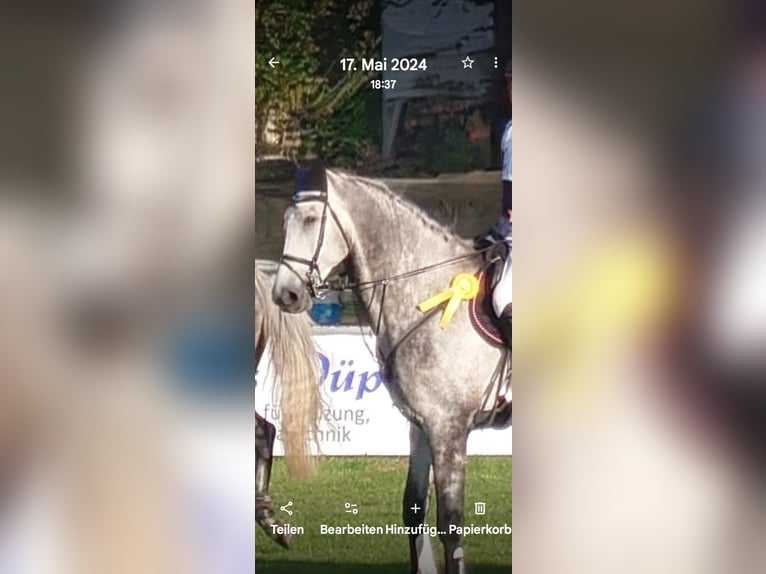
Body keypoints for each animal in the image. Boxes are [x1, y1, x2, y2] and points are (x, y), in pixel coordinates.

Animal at [271, 166, 511, 574]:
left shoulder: (448, 429)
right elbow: (413, 509)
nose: (284, 294)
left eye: (311, 219)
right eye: (286, 220)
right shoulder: (422, 425)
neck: (422, 293)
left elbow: (451, 523)